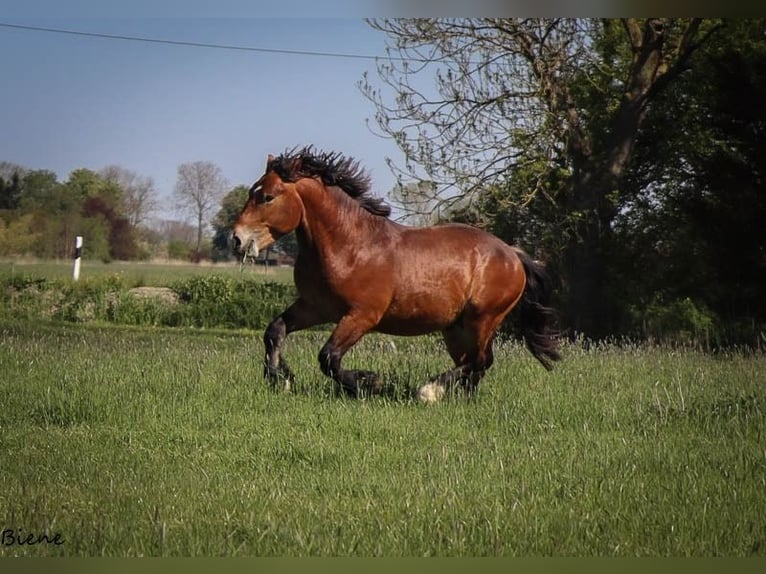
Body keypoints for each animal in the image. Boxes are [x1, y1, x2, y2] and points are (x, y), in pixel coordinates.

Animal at [232, 147, 560, 402]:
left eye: (268, 197)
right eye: (251, 192)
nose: (236, 239)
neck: (349, 246)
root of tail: (513, 254)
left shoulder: (362, 315)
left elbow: (329, 358)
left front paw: (368, 383)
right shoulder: (316, 307)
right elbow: (275, 330)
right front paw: (281, 378)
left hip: (483, 318)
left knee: (480, 360)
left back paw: (430, 391)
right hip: (456, 327)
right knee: (474, 363)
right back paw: (458, 398)